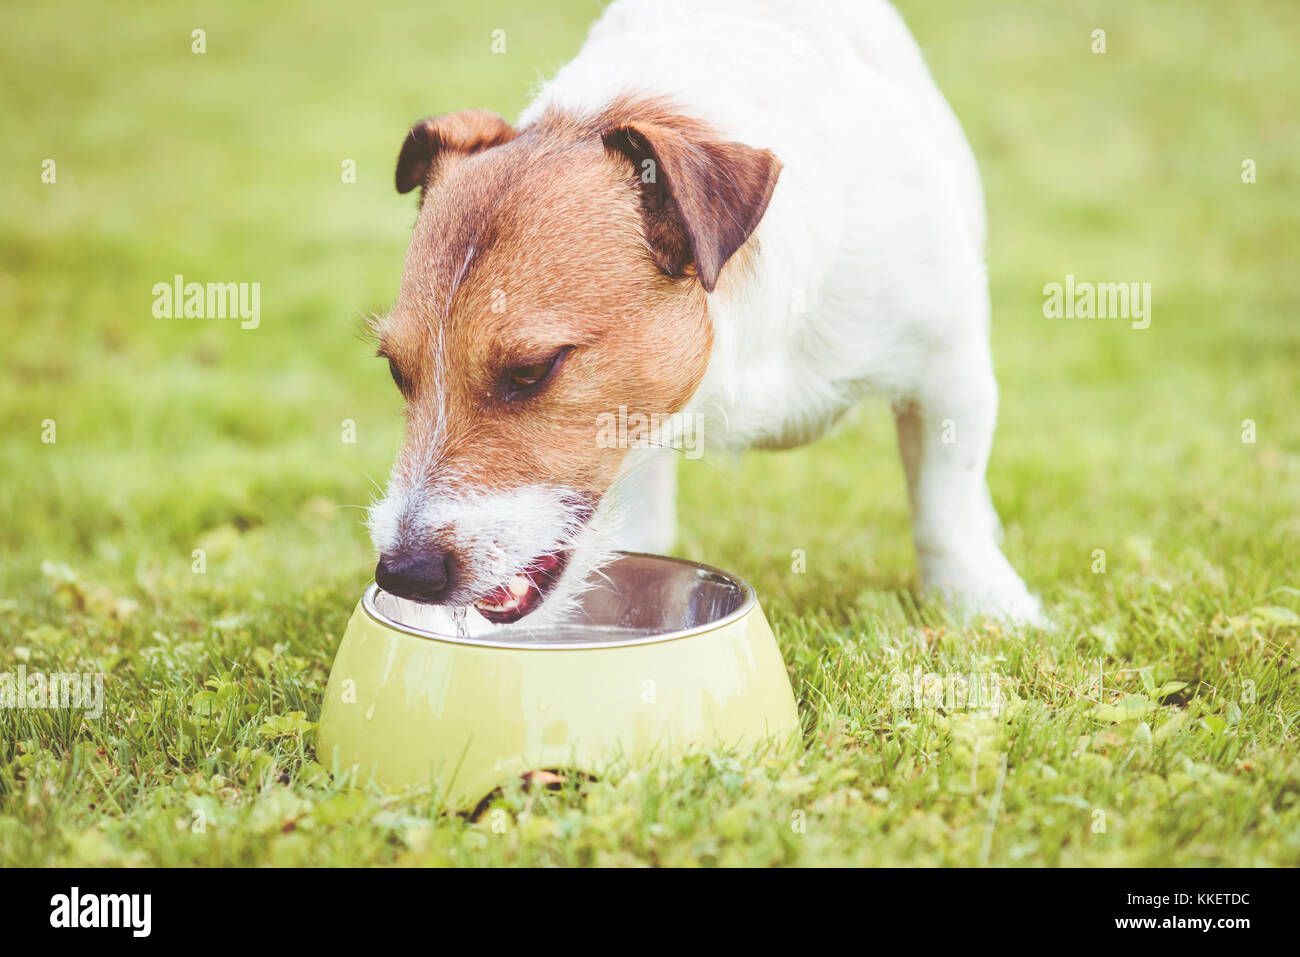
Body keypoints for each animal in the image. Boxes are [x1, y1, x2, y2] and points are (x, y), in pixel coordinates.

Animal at [369, 0, 1045, 629]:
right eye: (397, 373)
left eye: (532, 371)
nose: (404, 573)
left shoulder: (948, 367)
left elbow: (946, 501)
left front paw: (986, 606)